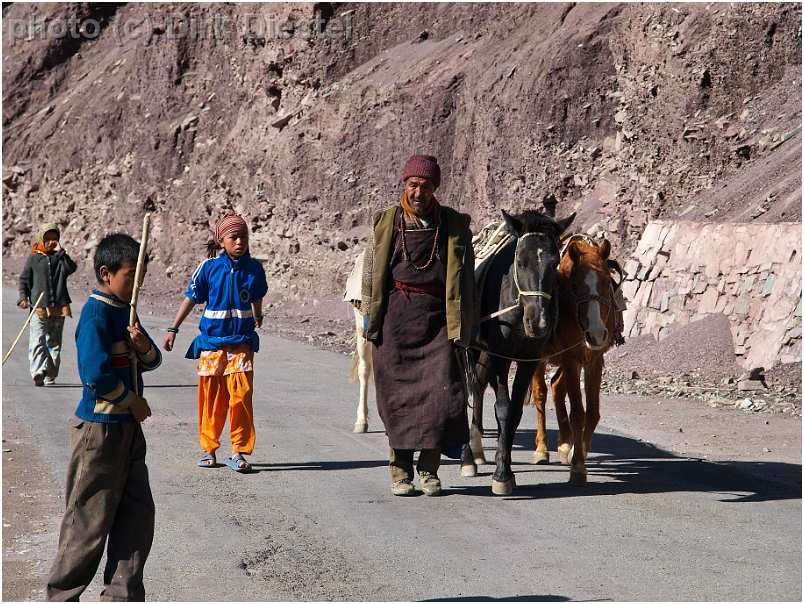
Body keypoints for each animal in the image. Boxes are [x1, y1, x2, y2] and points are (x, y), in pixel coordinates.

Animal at [458, 210, 572, 494]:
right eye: (520, 262)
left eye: (555, 262)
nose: (539, 322)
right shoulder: (500, 356)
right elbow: (503, 408)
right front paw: (501, 475)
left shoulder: (528, 359)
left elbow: (516, 412)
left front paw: (504, 466)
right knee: (465, 390)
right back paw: (468, 458)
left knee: (477, 386)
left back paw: (477, 451)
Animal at [532, 236, 616, 486]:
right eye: (575, 286)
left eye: (607, 282)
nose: (596, 334)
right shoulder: (571, 359)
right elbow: (578, 413)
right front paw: (578, 466)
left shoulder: (593, 359)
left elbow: (593, 412)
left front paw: (577, 452)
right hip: (539, 358)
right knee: (540, 393)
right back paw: (542, 450)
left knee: (557, 387)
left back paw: (564, 444)